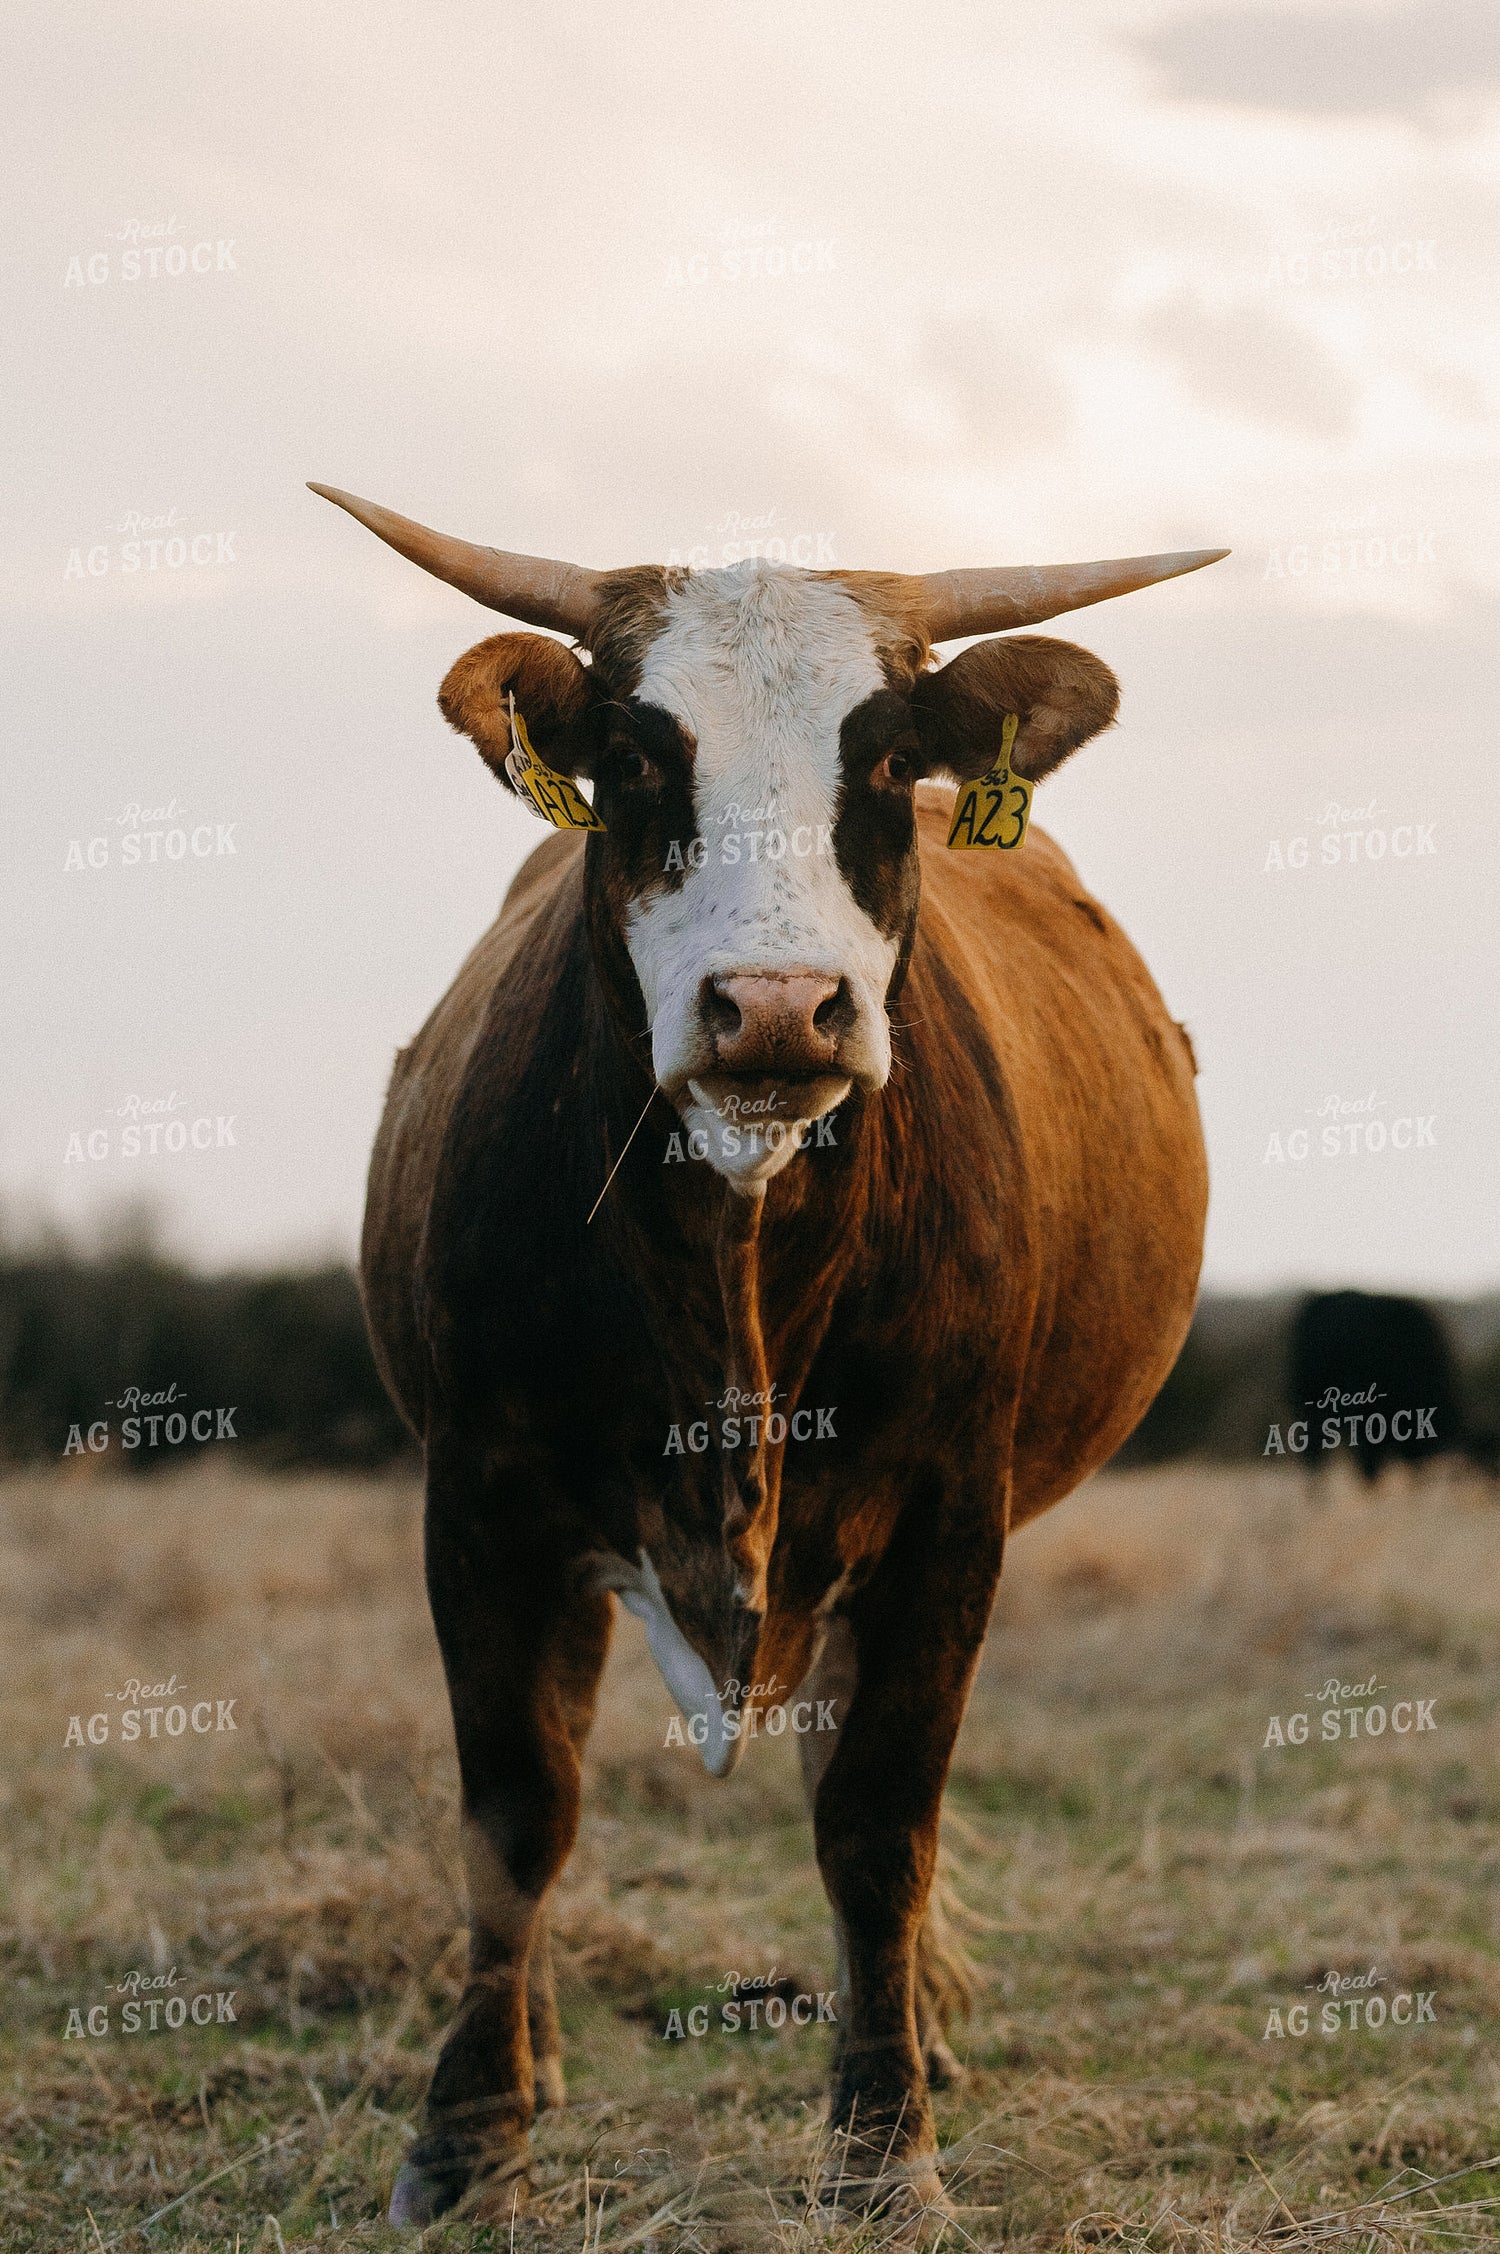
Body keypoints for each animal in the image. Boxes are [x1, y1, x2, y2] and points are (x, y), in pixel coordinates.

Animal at [310, 481, 1221, 2232]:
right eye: (636, 758)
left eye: (885, 762)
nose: (781, 1008)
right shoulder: (481, 1498)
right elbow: (515, 1813)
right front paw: (466, 2140)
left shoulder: (948, 1515)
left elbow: (876, 1820)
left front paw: (886, 2149)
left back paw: (917, 2025)